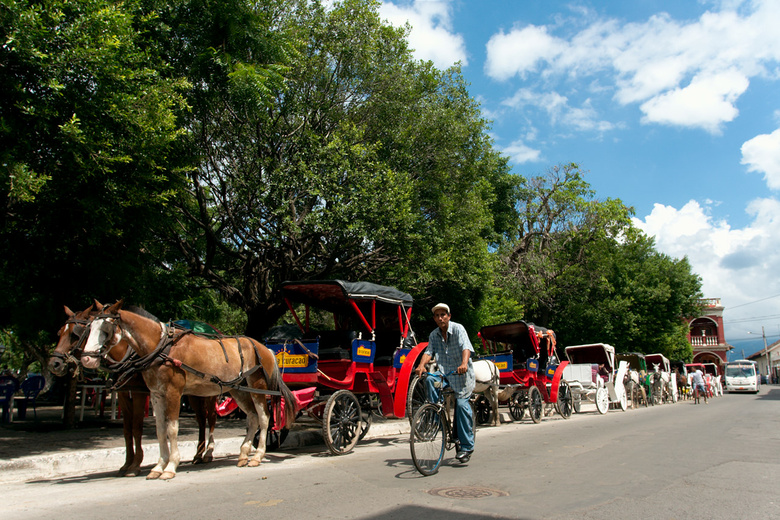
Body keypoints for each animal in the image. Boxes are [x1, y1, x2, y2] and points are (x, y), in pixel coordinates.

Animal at [47, 302, 219, 478]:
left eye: (76, 334)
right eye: (60, 332)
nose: (54, 364)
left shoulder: (139, 394)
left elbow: (137, 427)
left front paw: (135, 465)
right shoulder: (125, 394)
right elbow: (128, 430)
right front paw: (126, 464)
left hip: (209, 393)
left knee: (211, 417)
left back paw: (208, 452)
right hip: (195, 394)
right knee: (201, 420)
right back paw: (198, 454)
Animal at [80, 300, 296, 480]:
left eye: (106, 328)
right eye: (90, 327)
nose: (87, 359)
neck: (161, 348)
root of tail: (265, 348)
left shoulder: (174, 392)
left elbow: (172, 428)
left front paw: (170, 467)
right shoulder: (156, 395)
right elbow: (160, 430)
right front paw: (158, 467)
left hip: (257, 387)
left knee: (264, 417)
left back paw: (257, 455)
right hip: (238, 389)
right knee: (252, 417)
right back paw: (243, 454)